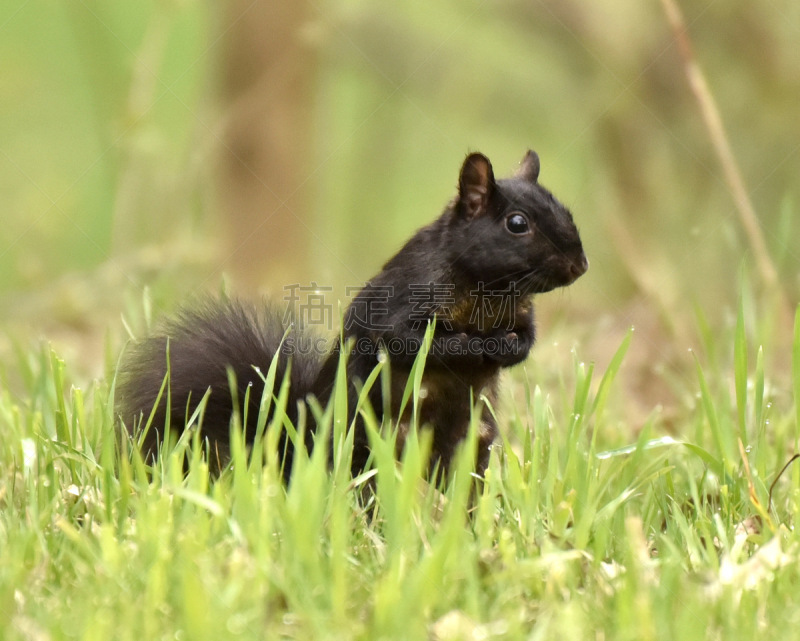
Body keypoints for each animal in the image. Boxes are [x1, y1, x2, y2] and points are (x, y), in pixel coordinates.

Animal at [119, 150, 588, 480]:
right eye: (517, 223)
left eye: (566, 210)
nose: (580, 265)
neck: (491, 290)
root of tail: (298, 448)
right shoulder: (401, 301)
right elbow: (411, 342)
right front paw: (474, 347)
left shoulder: (521, 313)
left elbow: (525, 337)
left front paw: (508, 348)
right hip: (368, 445)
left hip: (474, 443)